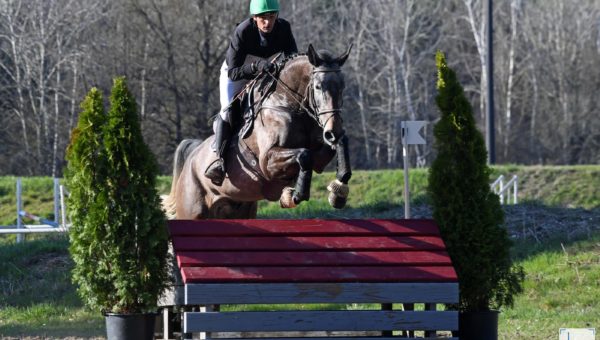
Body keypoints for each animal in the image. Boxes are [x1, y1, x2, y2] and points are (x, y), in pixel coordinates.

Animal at [162, 43, 354, 219]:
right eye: (318, 87)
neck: (288, 105)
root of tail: (192, 156)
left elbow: (339, 143)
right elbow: (304, 154)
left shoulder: (320, 156)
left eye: (343, 87)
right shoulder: (267, 161)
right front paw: (294, 195)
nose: (333, 131)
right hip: (192, 210)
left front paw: (338, 191)